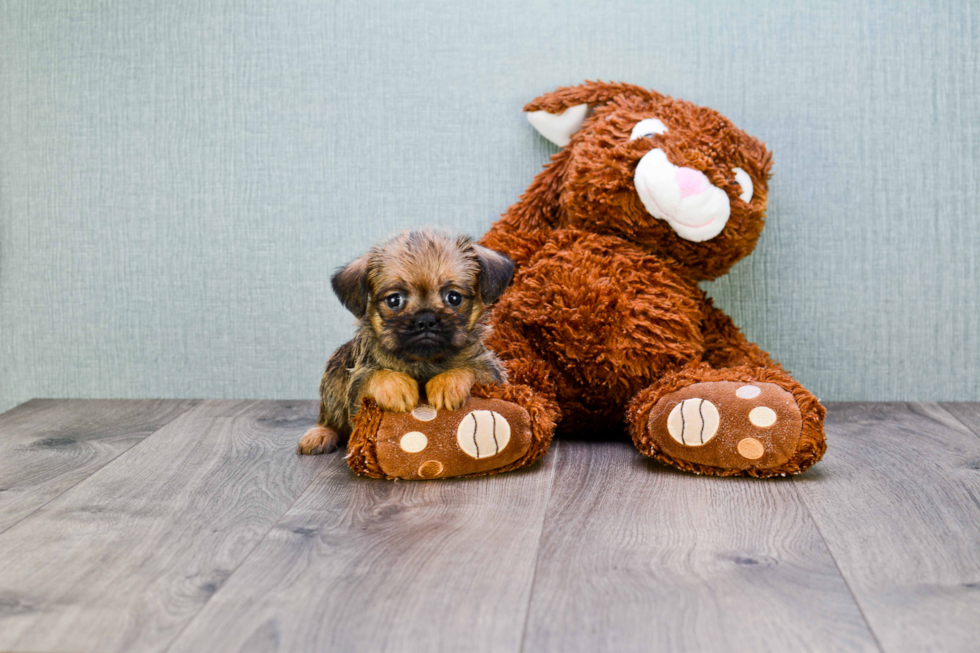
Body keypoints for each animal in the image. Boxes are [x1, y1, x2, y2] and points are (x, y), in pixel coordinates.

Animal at [296, 229, 512, 454]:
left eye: (454, 298)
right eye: (394, 300)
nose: (426, 319)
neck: (424, 362)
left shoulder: (494, 375)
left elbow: (471, 368)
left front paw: (447, 382)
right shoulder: (357, 384)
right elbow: (374, 376)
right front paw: (396, 386)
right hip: (335, 371)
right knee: (331, 418)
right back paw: (320, 433)